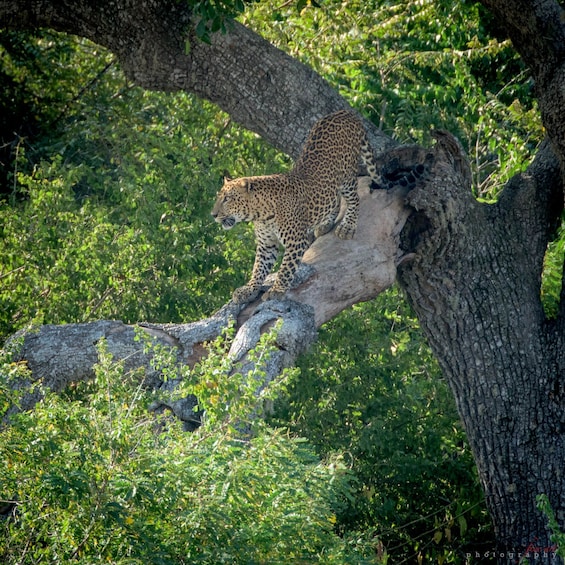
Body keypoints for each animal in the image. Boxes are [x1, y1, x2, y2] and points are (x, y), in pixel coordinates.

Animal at [212, 110, 384, 304]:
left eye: (227, 199)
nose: (213, 214)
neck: (260, 215)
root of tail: (344, 113)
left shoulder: (295, 242)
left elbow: (286, 268)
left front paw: (277, 290)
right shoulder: (266, 245)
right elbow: (258, 268)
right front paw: (248, 290)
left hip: (347, 176)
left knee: (354, 198)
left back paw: (347, 226)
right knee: (334, 198)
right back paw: (325, 224)